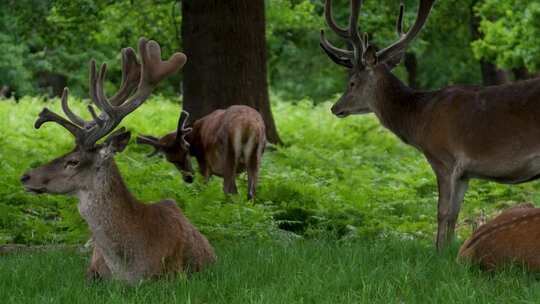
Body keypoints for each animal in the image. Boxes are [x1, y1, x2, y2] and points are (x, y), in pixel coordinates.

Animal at [135, 105, 266, 201]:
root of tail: (247, 125)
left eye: (186, 152)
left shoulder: (204, 162)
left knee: (229, 190)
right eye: (171, 160)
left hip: (229, 153)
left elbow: (203, 186)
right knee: (251, 192)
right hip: (256, 155)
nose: (188, 178)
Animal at [320, 0, 540, 249]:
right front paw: (449, 250)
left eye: (352, 82)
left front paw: (438, 251)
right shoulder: (465, 173)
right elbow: (455, 214)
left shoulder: (443, 158)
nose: (335, 108)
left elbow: (442, 212)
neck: (420, 118)